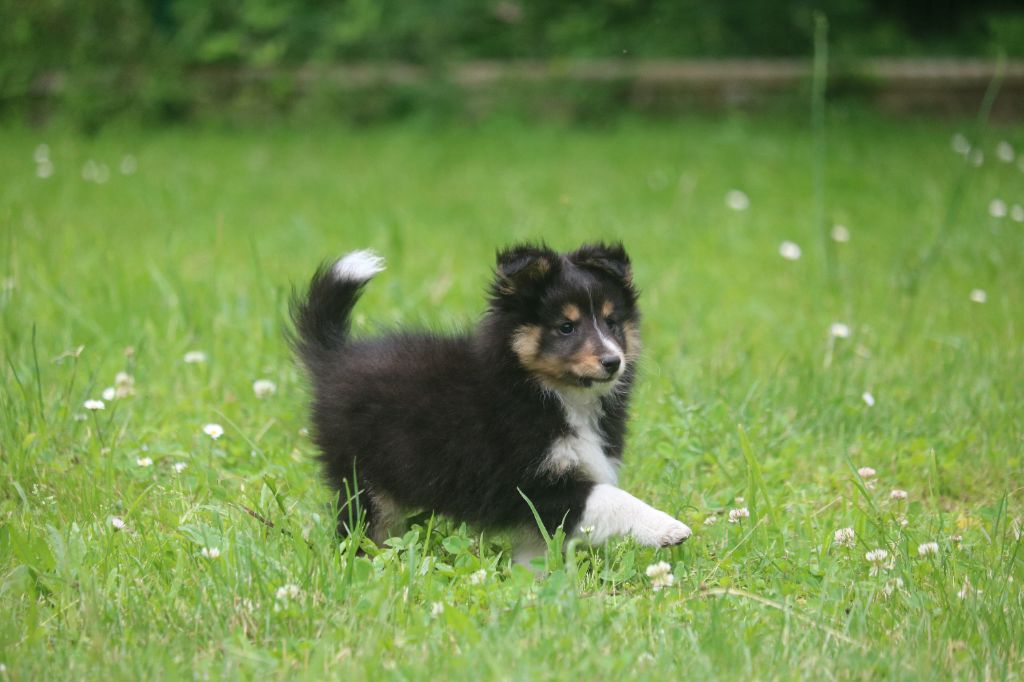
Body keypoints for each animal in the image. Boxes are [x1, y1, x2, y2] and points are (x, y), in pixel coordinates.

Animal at [292, 241, 692, 561]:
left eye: (611, 322)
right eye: (566, 328)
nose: (613, 362)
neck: (550, 393)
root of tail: (335, 356)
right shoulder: (530, 485)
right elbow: (610, 499)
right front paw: (668, 528)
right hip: (364, 480)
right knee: (361, 526)